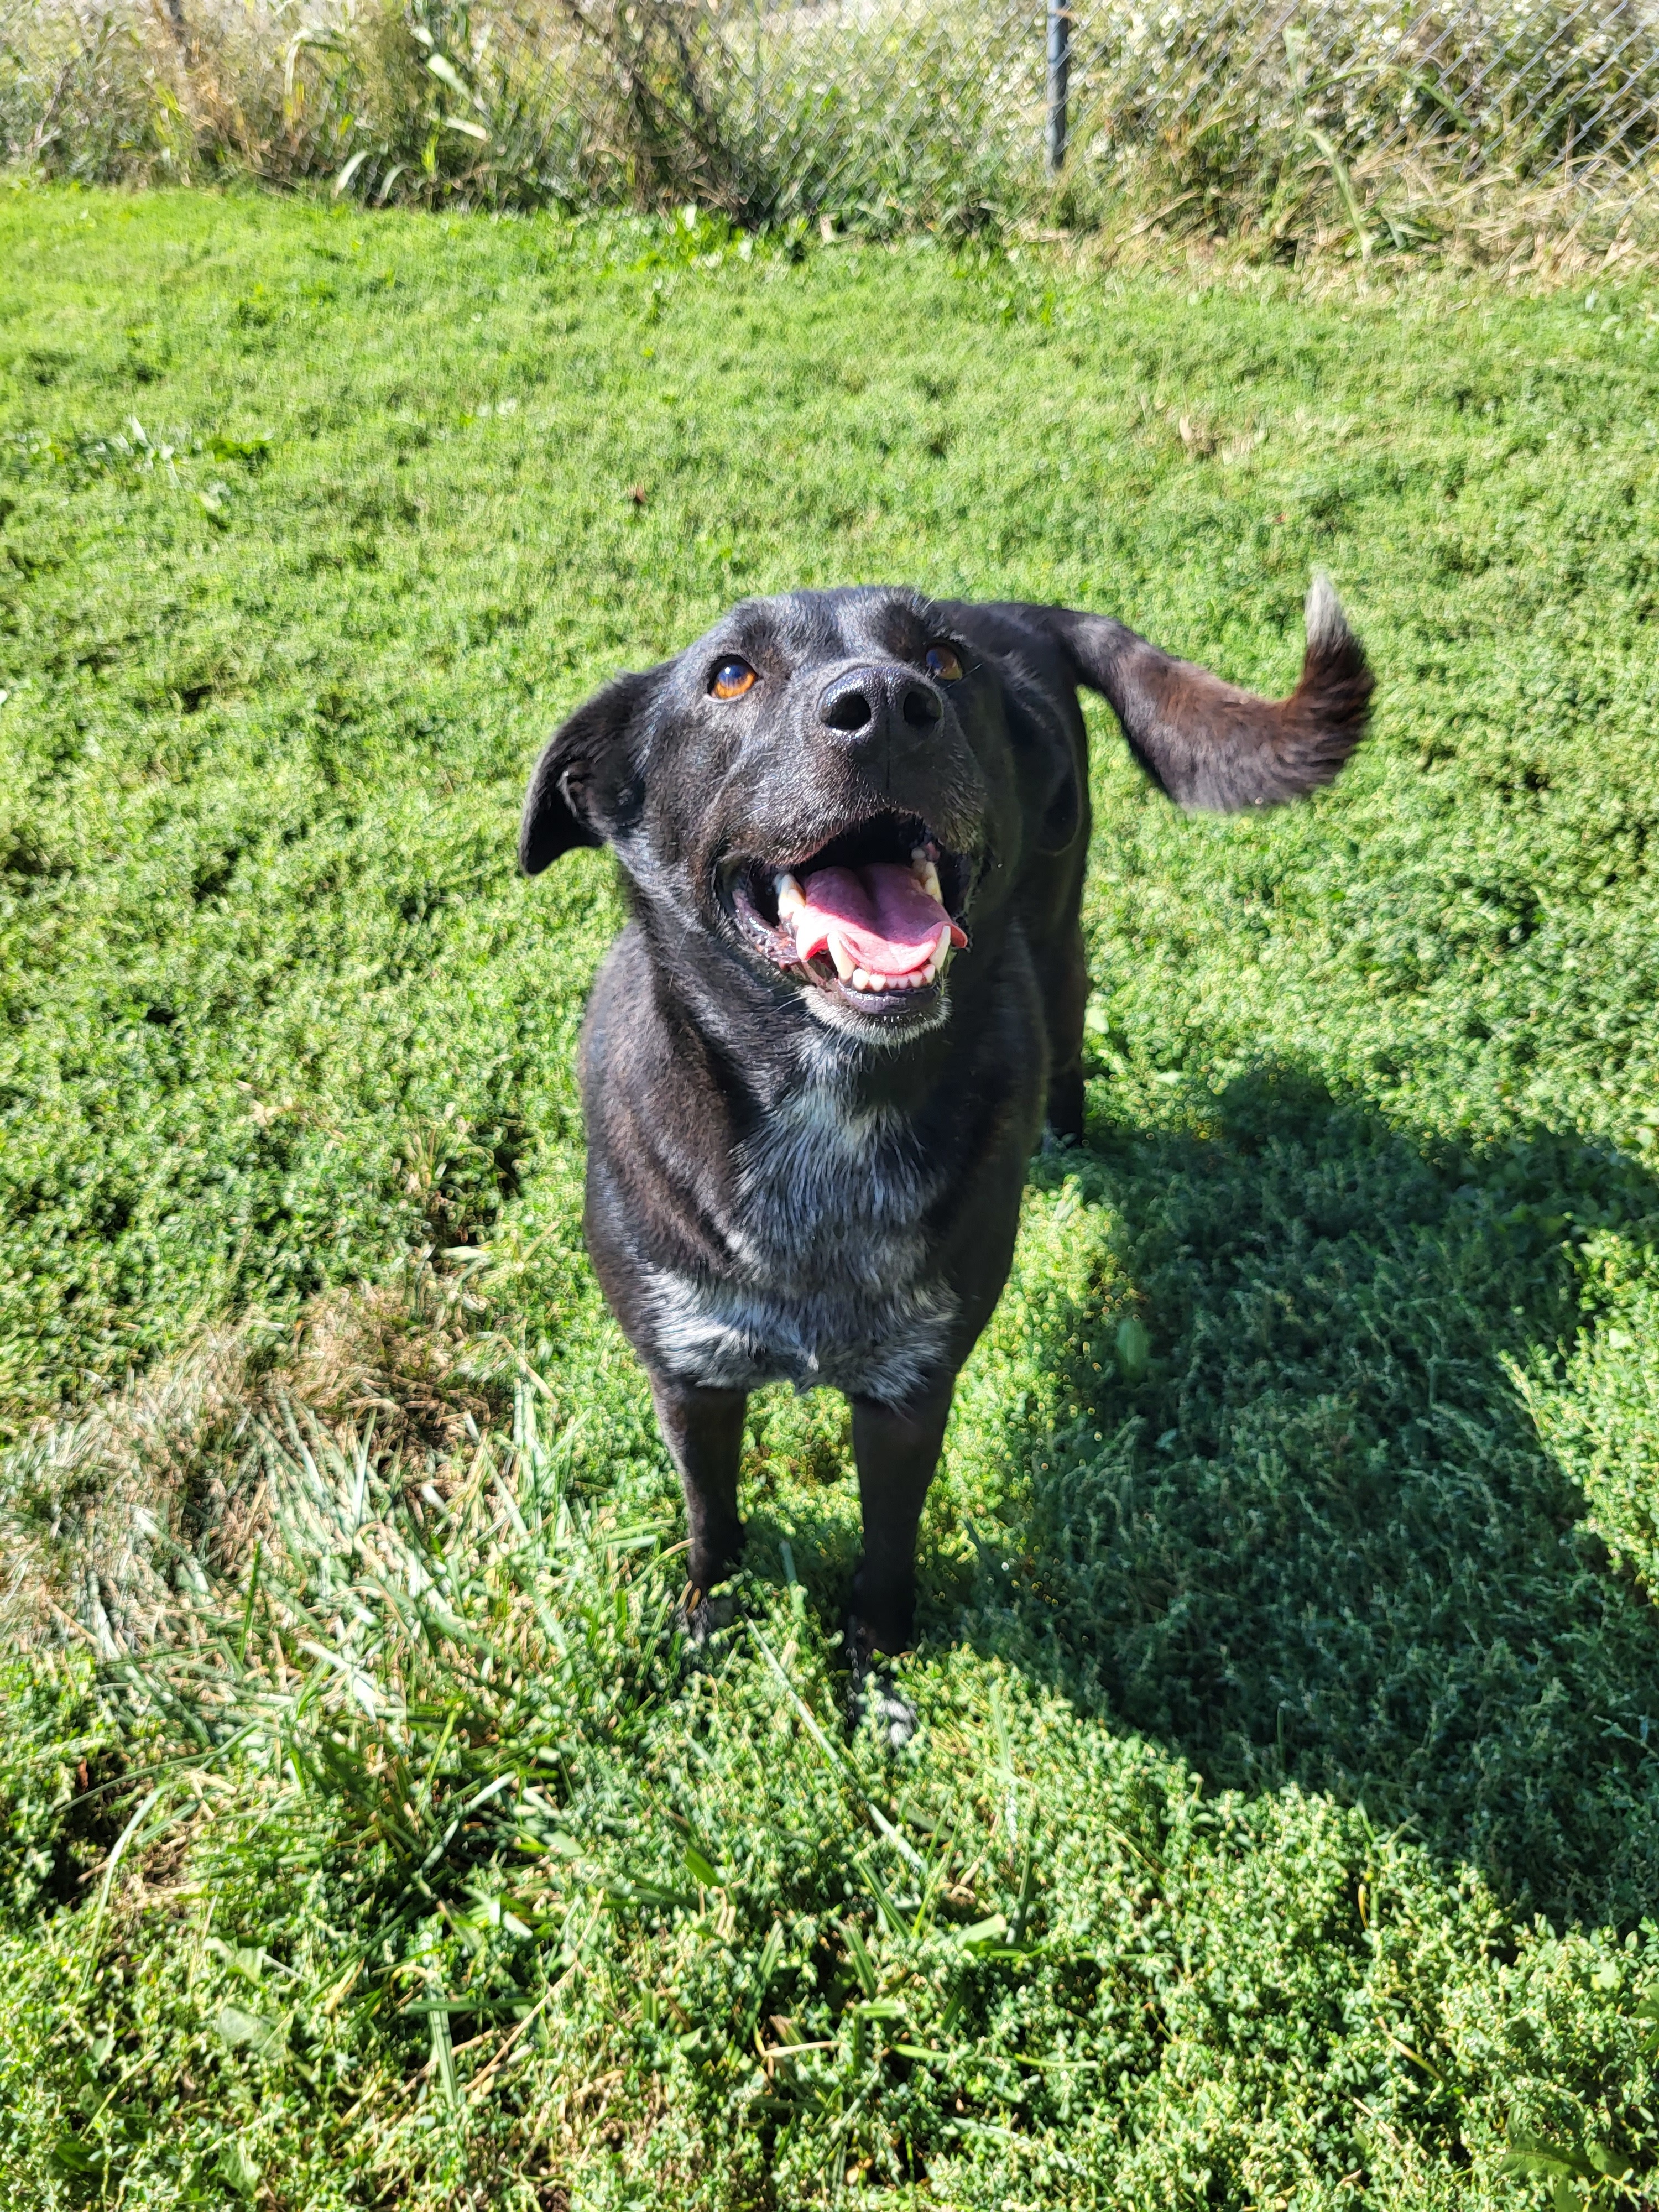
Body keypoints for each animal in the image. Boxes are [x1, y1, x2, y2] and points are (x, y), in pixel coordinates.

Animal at [522, 588, 1380, 1672]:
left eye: (941, 662)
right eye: (729, 675)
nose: (889, 706)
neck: (830, 1110)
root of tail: (1014, 607)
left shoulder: (910, 1396)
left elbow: (888, 1547)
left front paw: (877, 1667)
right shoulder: (689, 1375)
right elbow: (711, 1514)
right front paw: (709, 1616)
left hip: (1058, 930)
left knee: (1068, 1036)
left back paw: (1069, 1151)